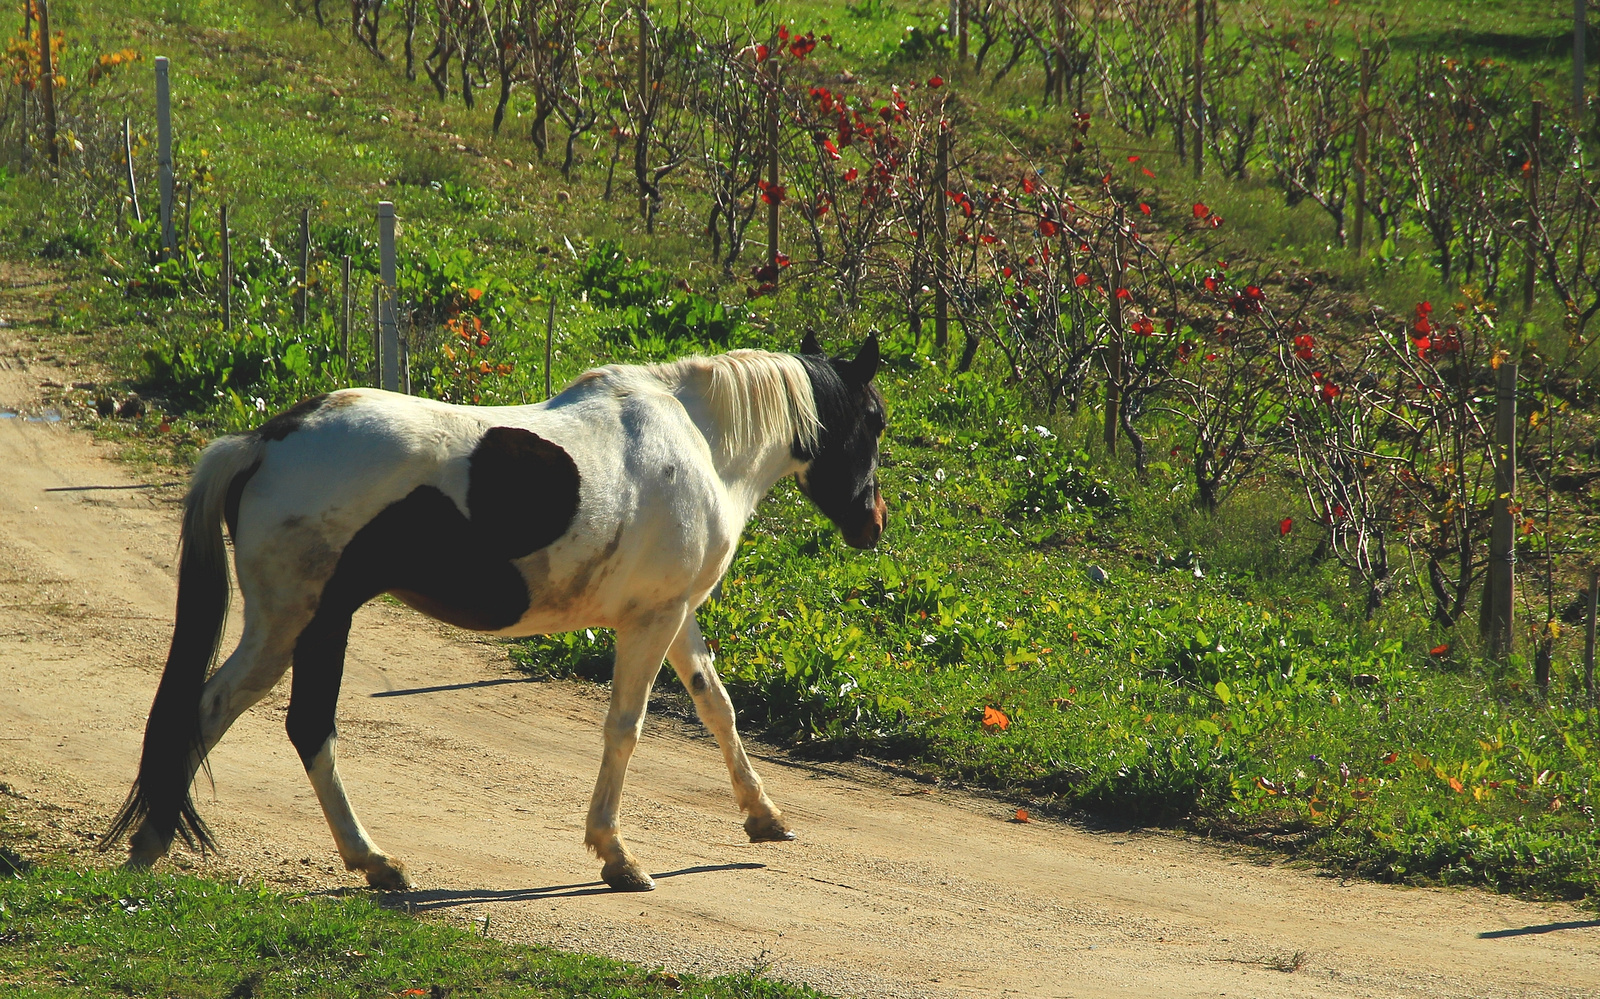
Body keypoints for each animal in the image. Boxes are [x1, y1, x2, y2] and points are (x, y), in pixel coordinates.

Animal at [103, 333, 889, 890]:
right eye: (875, 421)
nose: (874, 524)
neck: (699, 441)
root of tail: (263, 442)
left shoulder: (675, 613)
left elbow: (716, 707)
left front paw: (764, 816)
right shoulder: (651, 619)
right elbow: (626, 729)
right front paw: (617, 856)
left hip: (308, 624)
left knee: (260, 720)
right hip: (298, 624)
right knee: (254, 716)